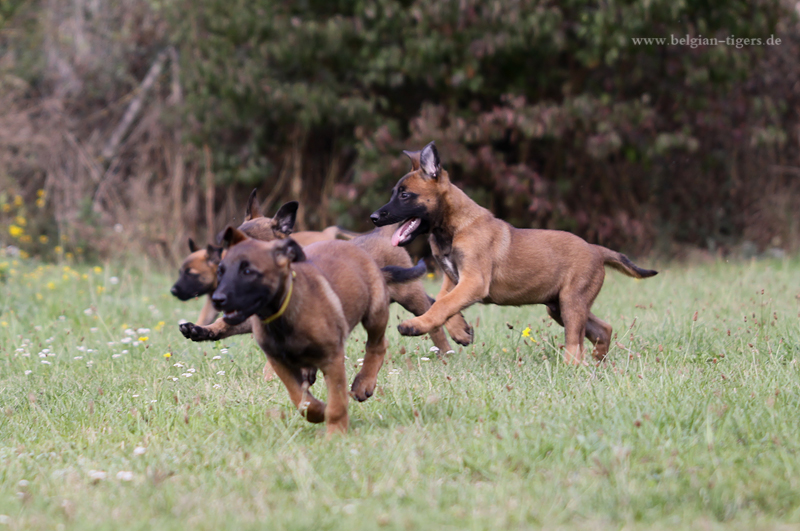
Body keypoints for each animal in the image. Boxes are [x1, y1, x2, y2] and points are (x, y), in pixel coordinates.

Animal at [182, 191, 474, 352]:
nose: (223, 272)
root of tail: (382, 233)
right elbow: (223, 324)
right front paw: (200, 330)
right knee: (436, 302)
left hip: (407, 291)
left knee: (432, 310)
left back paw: (448, 346)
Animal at [211, 228, 405, 434]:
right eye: (220, 271)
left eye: (248, 272)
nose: (217, 299)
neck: (281, 316)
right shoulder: (279, 363)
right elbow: (299, 398)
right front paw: (318, 411)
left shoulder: (332, 359)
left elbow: (336, 403)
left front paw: (335, 433)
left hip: (375, 312)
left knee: (378, 345)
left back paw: (364, 383)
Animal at [370, 142, 658, 365]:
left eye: (404, 195)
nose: (373, 217)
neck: (454, 226)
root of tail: (595, 249)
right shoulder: (454, 279)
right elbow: (442, 302)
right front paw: (460, 331)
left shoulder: (474, 281)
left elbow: (443, 304)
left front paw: (416, 325)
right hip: (559, 306)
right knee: (603, 329)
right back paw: (599, 362)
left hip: (571, 302)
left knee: (575, 345)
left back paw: (573, 367)